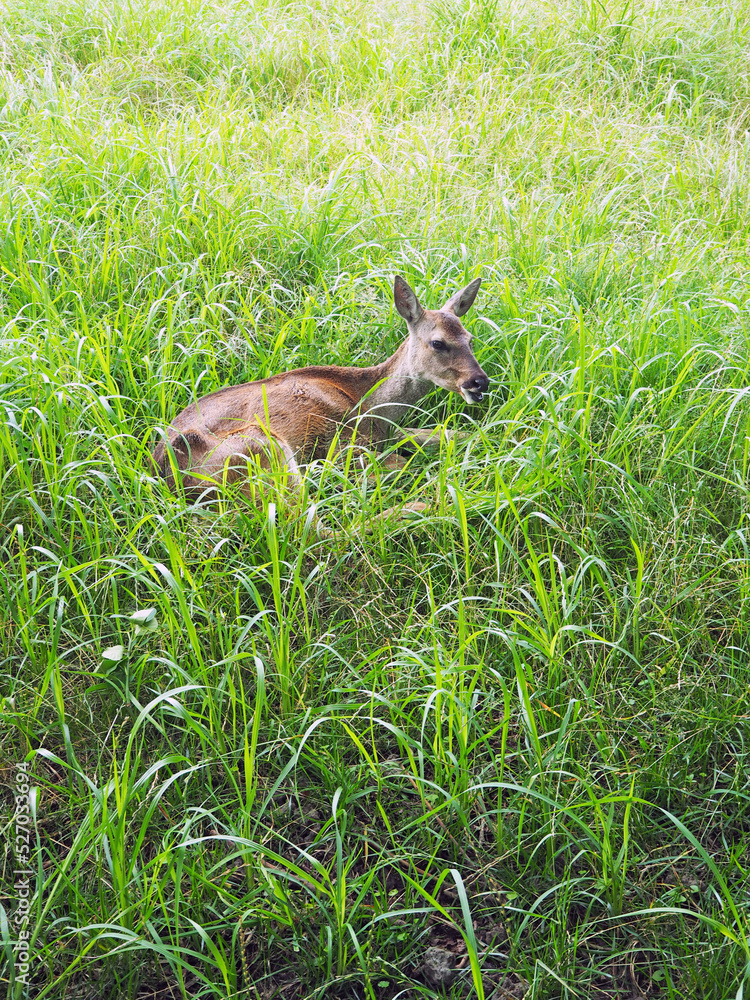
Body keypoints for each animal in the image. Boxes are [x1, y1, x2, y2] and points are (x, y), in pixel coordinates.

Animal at [152, 274, 489, 533]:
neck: (374, 404)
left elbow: (452, 435)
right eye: (438, 343)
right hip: (263, 448)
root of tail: (166, 477)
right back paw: (425, 507)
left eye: (470, 339)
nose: (479, 382)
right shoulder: (346, 448)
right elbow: (405, 464)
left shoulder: (389, 433)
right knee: (311, 529)